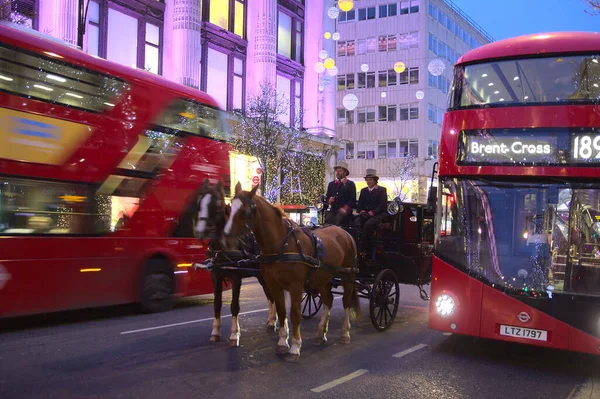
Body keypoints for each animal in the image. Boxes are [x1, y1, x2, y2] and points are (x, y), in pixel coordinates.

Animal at [196, 180, 278, 346]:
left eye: (216, 204)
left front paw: (235, 334)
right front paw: (215, 332)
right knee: (270, 295)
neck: (225, 245)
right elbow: (217, 304)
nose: (200, 231)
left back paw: (274, 322)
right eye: (199, 203)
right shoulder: (216, 276)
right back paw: (271, 321)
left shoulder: (236, 278)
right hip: (261, 276)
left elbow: (234, 306)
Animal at [223, 183, 358, 364]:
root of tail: (345, 233)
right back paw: (321, 333)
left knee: (346, 301)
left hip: (348, 276)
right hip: (324, 278)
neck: (282, 246)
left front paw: (295, 347)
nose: (226, 240)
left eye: (244, 211)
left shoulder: (296, 286)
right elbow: (281, 311)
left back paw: (344, 333)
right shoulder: (274, 284)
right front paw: (282, 342)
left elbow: (294, 314)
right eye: (229, 209)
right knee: (328, 300)